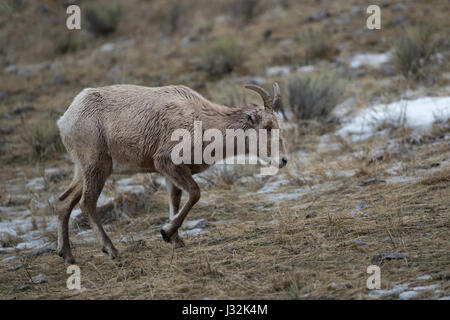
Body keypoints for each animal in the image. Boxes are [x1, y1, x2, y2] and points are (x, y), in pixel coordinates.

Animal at [57, 82, 288, 262]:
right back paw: (112, 250)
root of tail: (66, 120)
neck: (200, 119)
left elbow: (175, 200)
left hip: (84, 171)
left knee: (64, 201)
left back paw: (67, 256)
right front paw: (166, 233)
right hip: (96, 168)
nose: (283, 160)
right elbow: (194, 193)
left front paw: (176, 240)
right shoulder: (168, 163)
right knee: (86, 204)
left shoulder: (171, 173)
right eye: (267, 126)